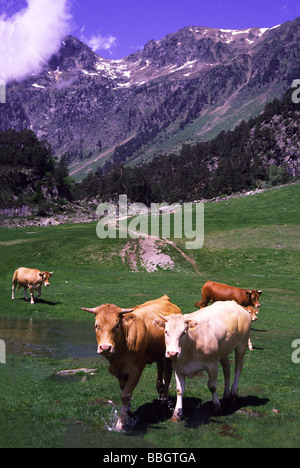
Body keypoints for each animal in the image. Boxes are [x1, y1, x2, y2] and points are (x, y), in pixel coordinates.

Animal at [81, 294, 180, 430]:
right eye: (97, 326)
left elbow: (126, 394)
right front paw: (127, 412)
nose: (105, 347)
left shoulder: (136, 369)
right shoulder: (119, 371)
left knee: (168, 373)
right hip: (158, 353)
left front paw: (121, 422)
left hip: (169, 354)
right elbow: (124, 391)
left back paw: (164, 399)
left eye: (116, 325)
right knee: (160, 368)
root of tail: (165, 299)